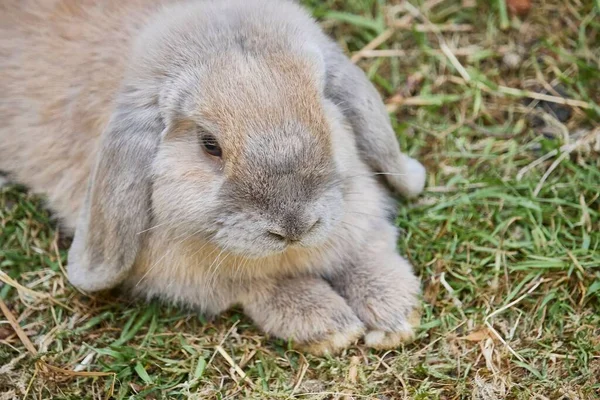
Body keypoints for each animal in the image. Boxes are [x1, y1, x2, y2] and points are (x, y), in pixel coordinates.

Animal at [2, 0, 428, 354]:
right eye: (210, 145)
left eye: (323, 109)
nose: (294, 224)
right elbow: (261, 285)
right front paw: (331, 327)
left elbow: (368, 250)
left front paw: (395, 314)